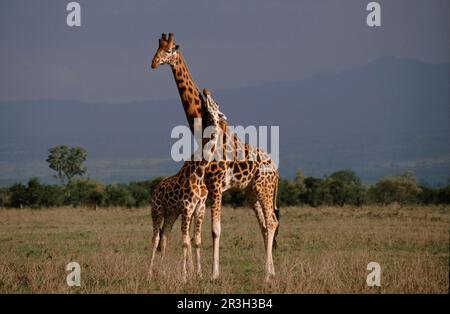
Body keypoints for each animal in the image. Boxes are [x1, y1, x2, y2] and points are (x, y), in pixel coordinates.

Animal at [151, 32, 280, 282]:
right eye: (156, 49)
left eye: (169, 50)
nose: (153, 63)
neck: (203, 129)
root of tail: (278, 171)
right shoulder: (206, 189)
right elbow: (198, 233)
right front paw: (196, 273)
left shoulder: (217, 184)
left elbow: (215, 229)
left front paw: (213, 274)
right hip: (251, 192)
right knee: (264, 224)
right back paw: (270, 271)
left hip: (264, 188)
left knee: (272, 221)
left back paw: (267, 275)